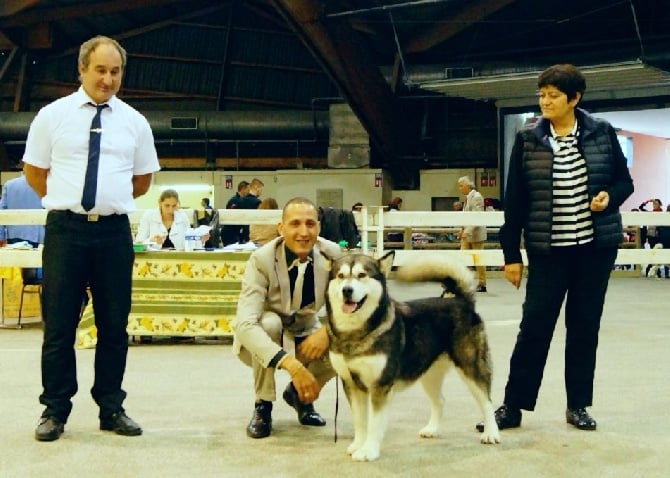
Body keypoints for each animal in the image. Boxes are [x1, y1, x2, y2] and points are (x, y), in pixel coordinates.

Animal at [328, 252, 502, 462]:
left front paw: (369, 450)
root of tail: (462, 301)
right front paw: (357, 445)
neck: (355, 333)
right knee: (440, 400)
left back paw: (491, 433)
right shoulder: (351, 384)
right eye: (341, 276)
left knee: (486, 401)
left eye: (362, 275)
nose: (347, 290)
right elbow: (360, 421)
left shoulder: (381, 385)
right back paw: (432, 429)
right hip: (429, 374)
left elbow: (375, 423)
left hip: (471, 366)